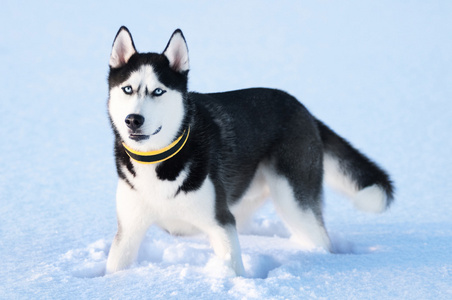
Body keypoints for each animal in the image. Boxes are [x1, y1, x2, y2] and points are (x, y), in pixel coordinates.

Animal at [105, 27, 392, 276]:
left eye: (158, 91)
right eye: (128, 88)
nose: (133, 120)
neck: (158, 162)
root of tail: (301, 108)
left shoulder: (220, 222)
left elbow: (231, 267)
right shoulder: (128, 231)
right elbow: (115, 266)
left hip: (294, 202)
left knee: (319, 239)